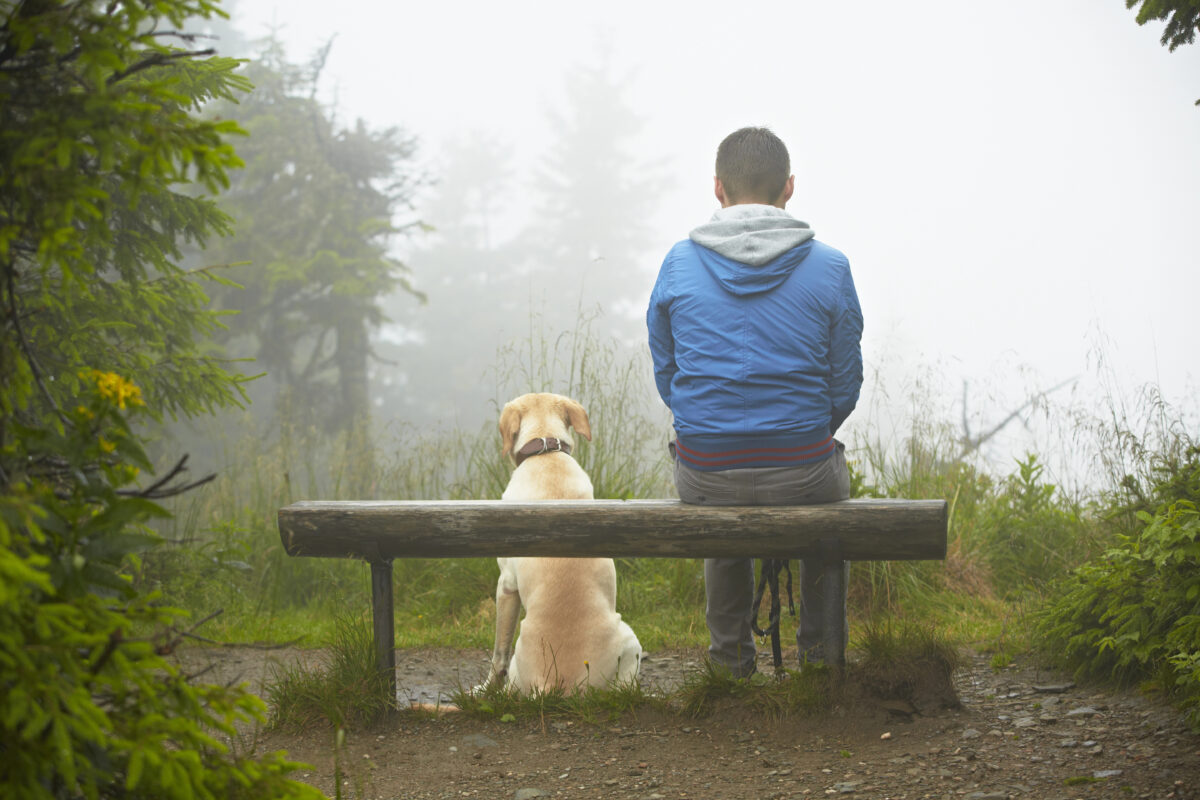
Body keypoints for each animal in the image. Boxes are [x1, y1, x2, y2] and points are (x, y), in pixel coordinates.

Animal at [482, 391, 643, 690]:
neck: (546, 453)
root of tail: (552, 685)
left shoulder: (506, 584)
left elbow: (498, 653)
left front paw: (485, 689)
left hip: (629, 637)